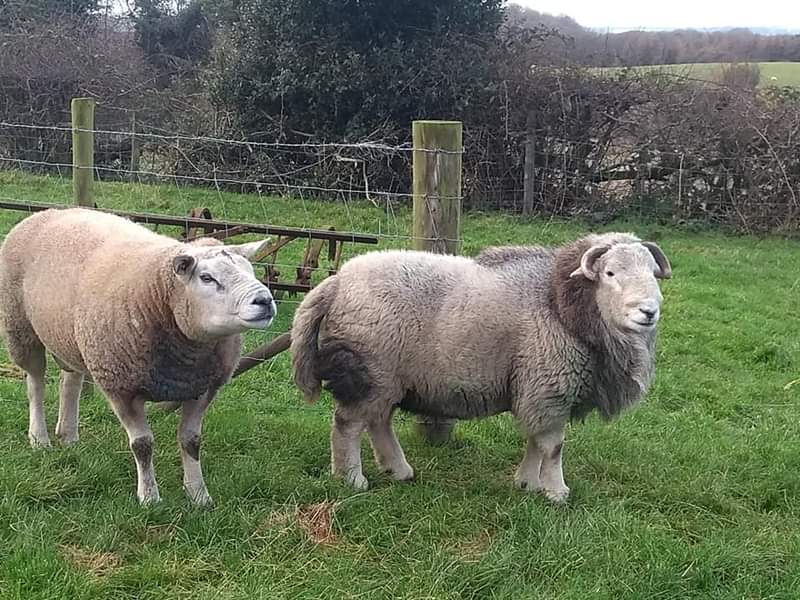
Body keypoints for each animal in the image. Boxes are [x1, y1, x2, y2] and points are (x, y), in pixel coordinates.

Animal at [0, 207, 277, 505]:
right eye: (207, 278)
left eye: (250, 270)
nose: (265, 301)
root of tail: (49, 211)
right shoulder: (121, 386)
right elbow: (142, 444)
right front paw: (149, 497)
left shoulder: (202, 387)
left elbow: (191, 442)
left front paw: (199, 496)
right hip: (20, 327)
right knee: (35, 384)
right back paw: (39, 438)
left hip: (69, 336)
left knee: (70, 381)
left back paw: (68, 435)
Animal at [290, 232, 671, 502]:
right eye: (610, 272)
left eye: (653, 274)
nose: (648, 312)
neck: (557, 301)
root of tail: (336, 282)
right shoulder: (549, 387)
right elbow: (552, 446)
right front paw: (556, 492)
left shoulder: (535, 390)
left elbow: (535, 441)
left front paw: (527, 483)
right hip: (369, 368)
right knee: (348, 424)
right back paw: (351, 479)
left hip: (385, 376)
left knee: (378, 420)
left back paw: (398, 469)